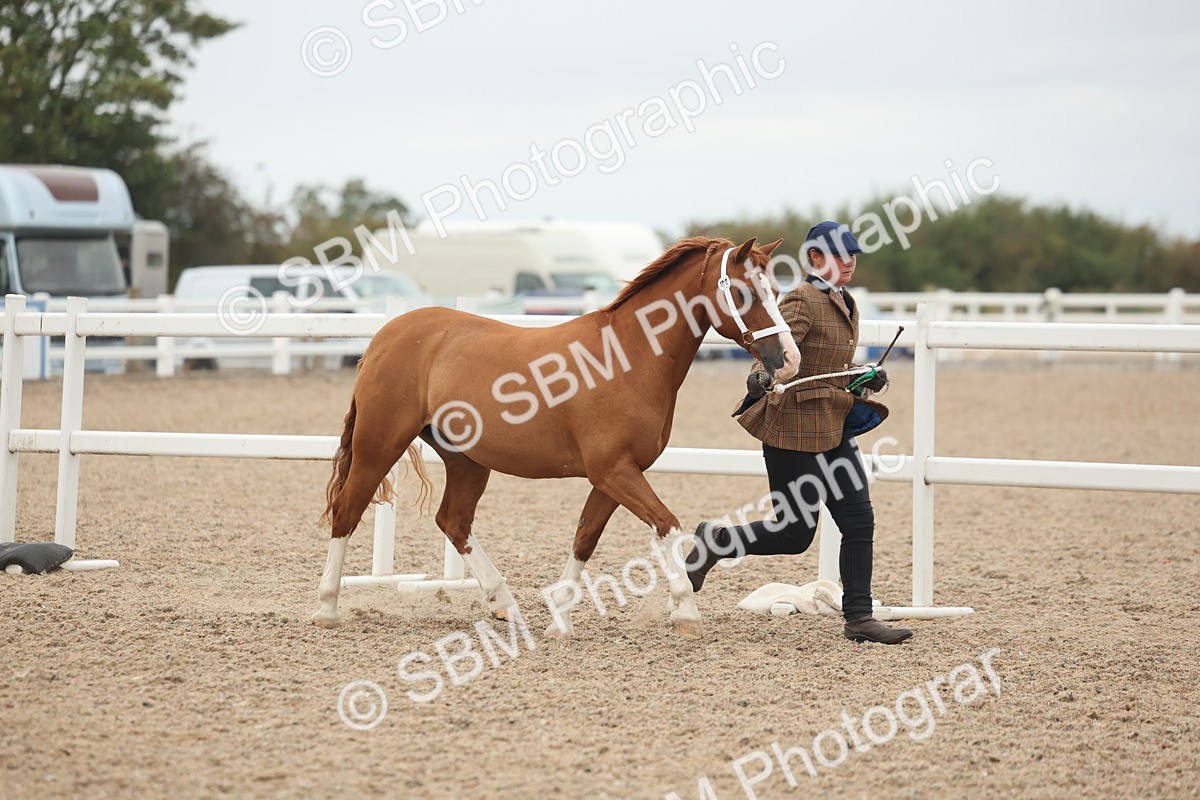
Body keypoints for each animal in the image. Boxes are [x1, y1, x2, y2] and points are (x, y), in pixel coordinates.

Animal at [314, 236, 800, 639]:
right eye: (744, 292)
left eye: (776, 290)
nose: (789, 360)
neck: (628, 358)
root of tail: (385, 336)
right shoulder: (615, 471)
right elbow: (667, 525)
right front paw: (685, 612)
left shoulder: (613, 477)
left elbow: (585, 540)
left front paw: (559, 621)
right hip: (379, 445)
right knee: (347, 511)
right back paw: (328, 609)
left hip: (466, 460)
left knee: (453, 522)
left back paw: (505, 605)